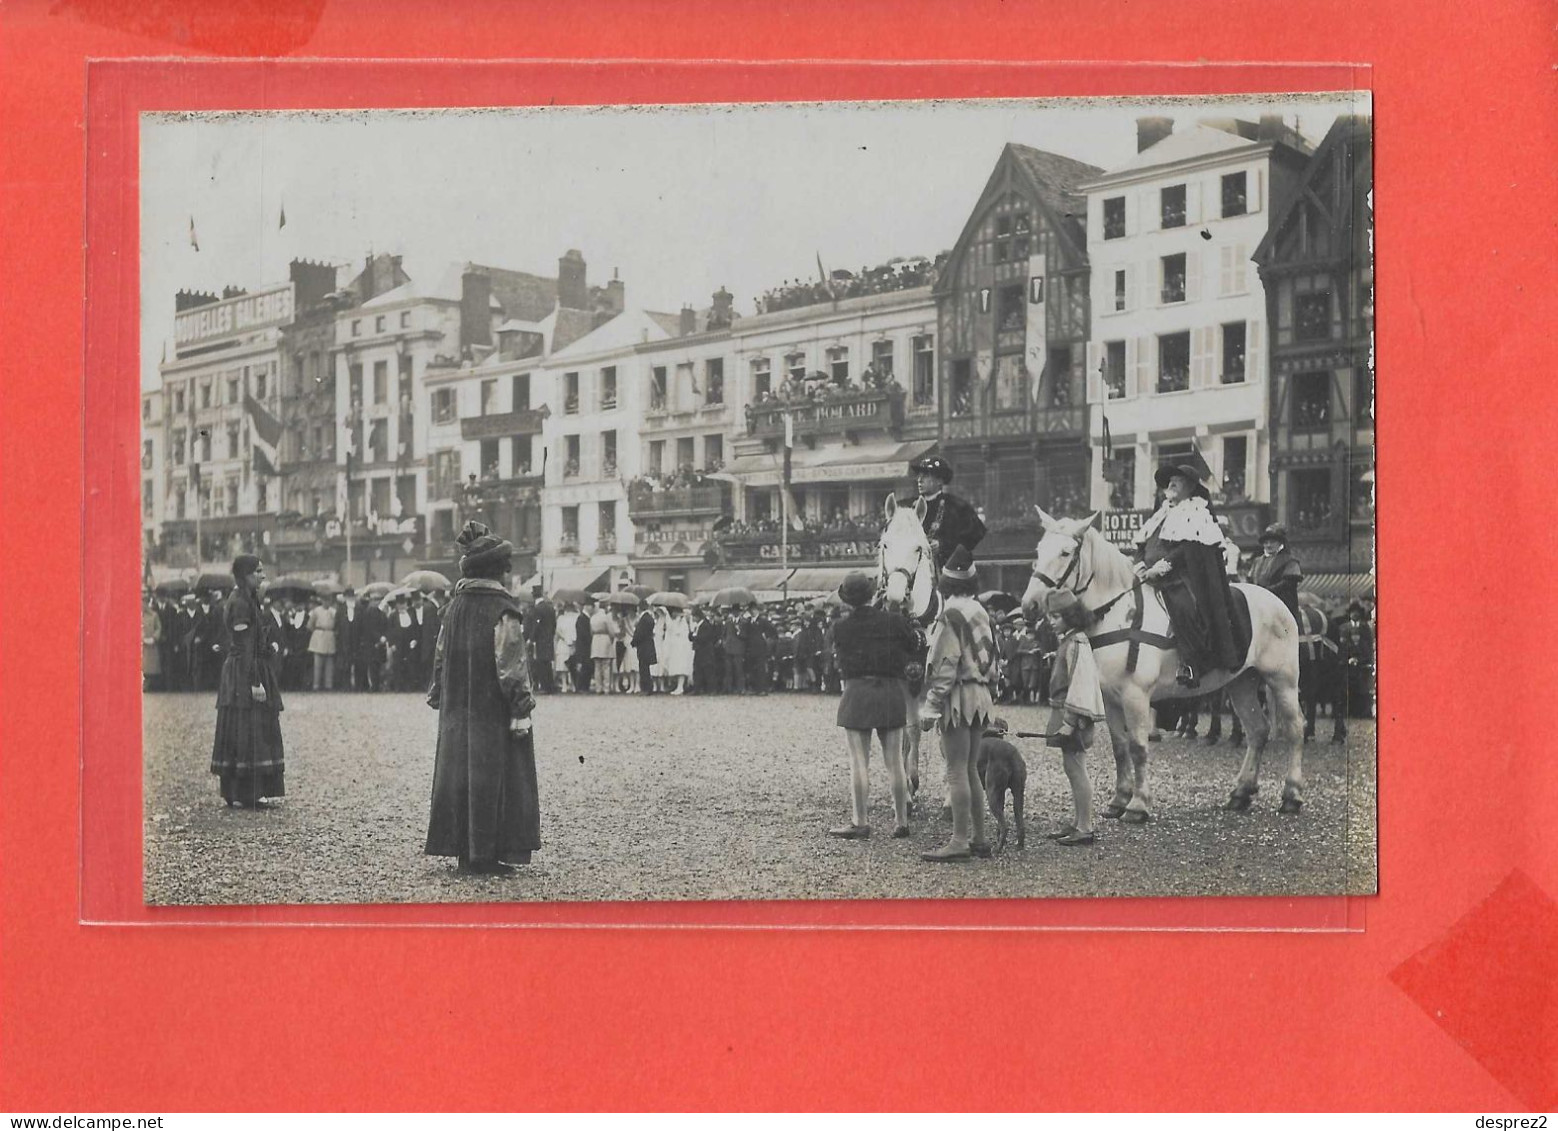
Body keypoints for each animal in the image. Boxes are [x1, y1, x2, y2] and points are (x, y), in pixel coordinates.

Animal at [972, 722, 1022, 853]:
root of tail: (1012, 754)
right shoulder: (1001, 795)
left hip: (992, 795)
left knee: (1005, 826)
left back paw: (998, 848)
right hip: (1017, 795)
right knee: (1019, 823)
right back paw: (1019, 845)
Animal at [1015, 514, 1308, 822]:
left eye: (1065, 553)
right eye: (1039, 550)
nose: (1029, 605)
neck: (1118, 615)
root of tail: (1277, 603)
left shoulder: (1135, 695)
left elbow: (1138, 747)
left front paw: (1137, 805)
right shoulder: (1110, 698)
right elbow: (1120, 748)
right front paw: (1119, 800)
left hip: (1282, 680)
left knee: (1295, 729)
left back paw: (1291, 795)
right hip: (1241, 683)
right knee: (1257, 730)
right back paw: (1241, 792)